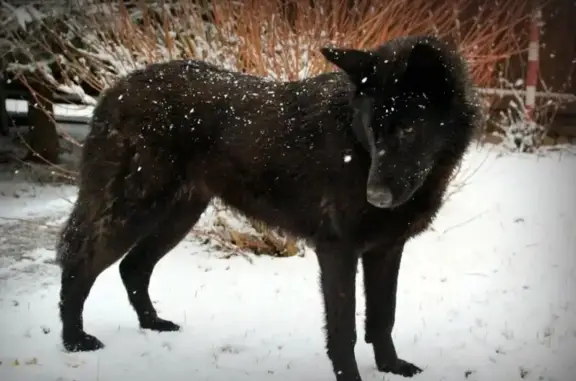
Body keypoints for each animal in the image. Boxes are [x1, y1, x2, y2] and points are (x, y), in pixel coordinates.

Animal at [56, 34, 482, 378]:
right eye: (373, 130)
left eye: (409, 130)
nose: (375, 197)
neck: (356, 146)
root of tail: (116, 89)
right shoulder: (338, 251)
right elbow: (343, 330)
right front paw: (351, 376)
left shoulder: (386, 251)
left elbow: (383, 317)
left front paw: (391, 367)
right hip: (134, 209)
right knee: (81, 262)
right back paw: (74, 339)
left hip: (178, 215)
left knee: (133, 267)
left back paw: (153, 324)